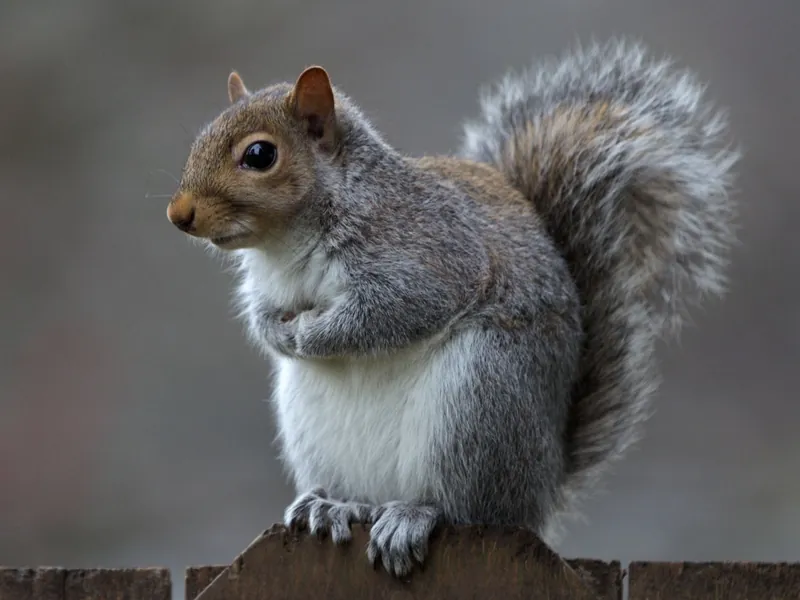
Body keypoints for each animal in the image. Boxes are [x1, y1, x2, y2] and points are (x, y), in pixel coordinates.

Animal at [166, 39, 737, 577]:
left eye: (260, 155)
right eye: (198, 140)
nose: (179, 214)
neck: (287, 245)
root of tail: (543, 488)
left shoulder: (431, 257)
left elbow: (389, 312)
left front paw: (312, 334)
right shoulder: (268, 287)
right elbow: (262, 317)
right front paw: (280, 335)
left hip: (479, 402)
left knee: (469, 508)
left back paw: (414, 516)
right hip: (314, 425)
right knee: (365, 499)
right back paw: (334, 506)